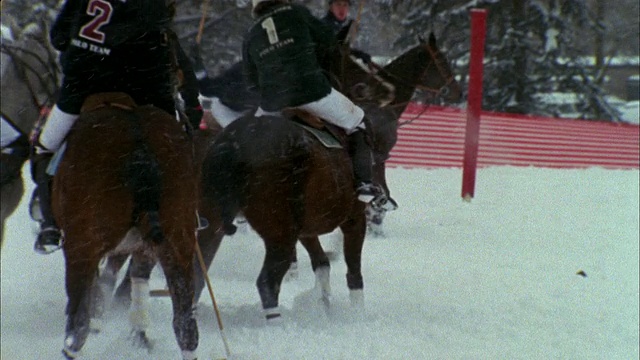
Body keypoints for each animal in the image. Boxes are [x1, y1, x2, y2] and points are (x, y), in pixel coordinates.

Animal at [51, 93, 199, 360]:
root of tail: (140, 144)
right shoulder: (143, 248)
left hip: (82, 246)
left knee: (78, 326)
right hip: (177, 241)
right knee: (185, 324)